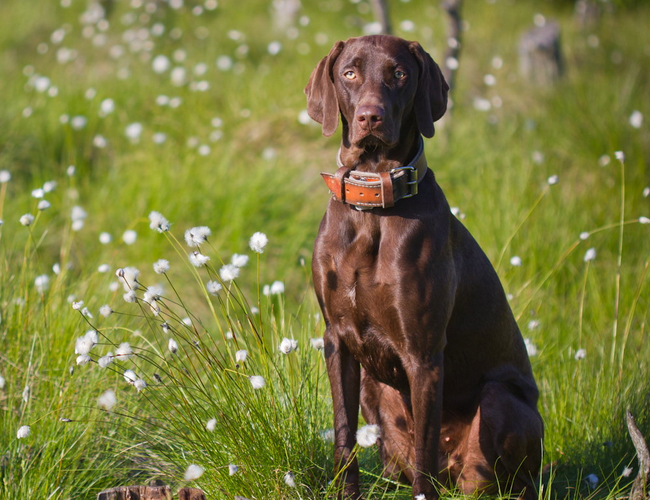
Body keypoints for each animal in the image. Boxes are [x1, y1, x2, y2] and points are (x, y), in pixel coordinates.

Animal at [304, 36, 540, 500]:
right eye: (350, 73)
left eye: (399, 74)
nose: (370, 116)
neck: (373, 207)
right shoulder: (337, 339)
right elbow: (343, 438)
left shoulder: (424, 353)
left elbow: (425, 450)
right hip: (375, 392)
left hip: (501, 401)